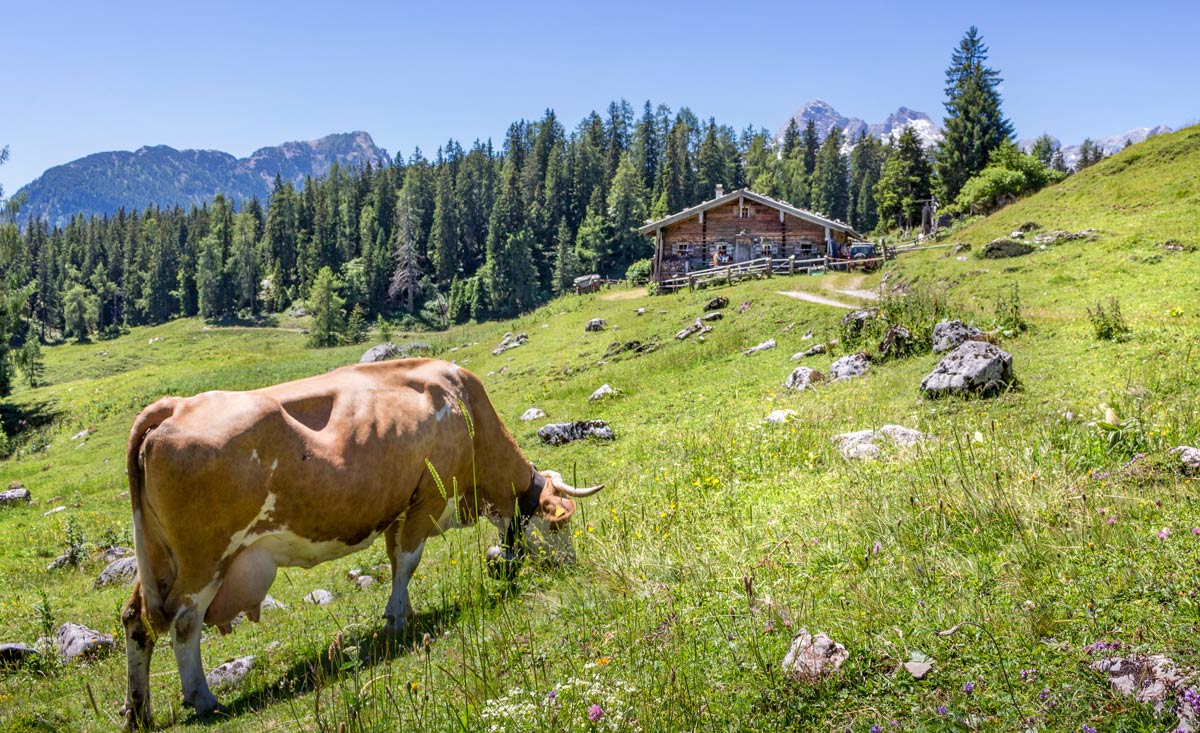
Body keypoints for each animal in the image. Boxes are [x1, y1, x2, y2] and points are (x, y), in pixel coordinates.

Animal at [121, 357, 600, 729]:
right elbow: (407, 562)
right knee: (184, 621)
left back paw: (140, 710)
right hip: (204, 557)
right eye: (559, 526)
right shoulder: (428, 498)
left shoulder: (398, 508)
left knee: (136, 619)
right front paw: (397, 619)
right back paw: (202, 698)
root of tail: (175, 405)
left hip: (160, 557)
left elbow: (395, 560)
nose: (571, 566)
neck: (464, 408)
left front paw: (402, 612)